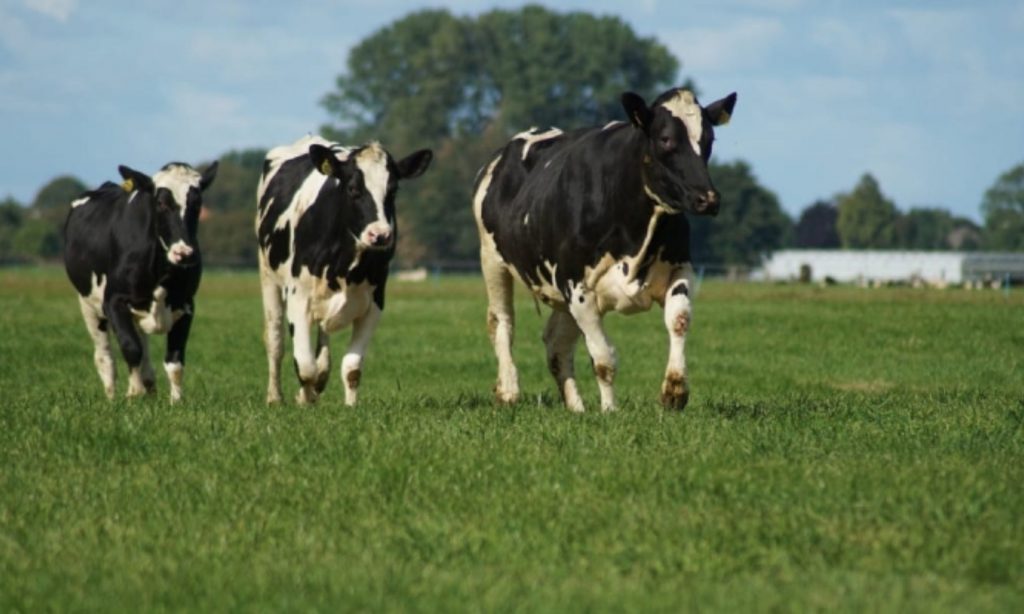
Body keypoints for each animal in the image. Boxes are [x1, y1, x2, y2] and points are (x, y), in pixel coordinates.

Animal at [62, 160, 219, 401]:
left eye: (197, 203)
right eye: (161, 203)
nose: (184, 253)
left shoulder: (186, 304)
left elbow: (175, 360)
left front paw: (176, 401)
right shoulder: (114, 301)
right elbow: (131, 347)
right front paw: (133, 393)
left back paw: (149, 385)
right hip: (88, 305)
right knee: (105, 357)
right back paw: (112, 397)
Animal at [258, 135, 434, 403]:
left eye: (393, 190)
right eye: (352, 189)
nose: (380, 235)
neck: (345, 265)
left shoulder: (374, 303)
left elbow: (352, 368)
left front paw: (350, 406)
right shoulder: (298, 298)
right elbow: (304, 366)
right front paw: (305, 399)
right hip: (269, 278)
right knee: (275, 341)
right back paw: (275, 397)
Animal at [471, 87, 737, 413]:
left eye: (709, 139)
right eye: (665, 139)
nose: (708, 199)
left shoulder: (679, 267)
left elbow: (679, 320)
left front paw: (674, 390)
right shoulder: (578, 288)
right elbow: (604, 360)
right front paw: (610, 411)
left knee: (556, 342)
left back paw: (576, 407)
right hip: (492, 259)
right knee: (502, 321)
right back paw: (509, 391)